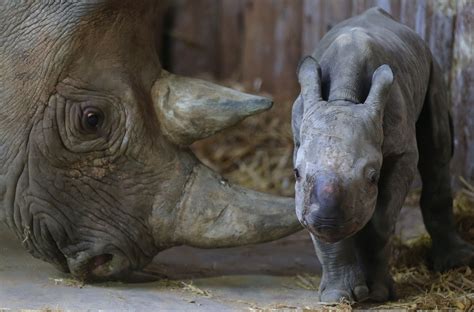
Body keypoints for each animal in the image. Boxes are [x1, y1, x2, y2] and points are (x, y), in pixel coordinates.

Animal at [292, 7, 474, 304]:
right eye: (296, 173)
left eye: (373, 176)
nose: (327, 220)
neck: (344, 98)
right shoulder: (300, 142)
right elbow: (325, 235)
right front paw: (338, 297)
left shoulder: (402, 153)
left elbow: (380, 223)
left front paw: (378, 295)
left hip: (432, 65)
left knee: (437, 151)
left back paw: (456, 261)